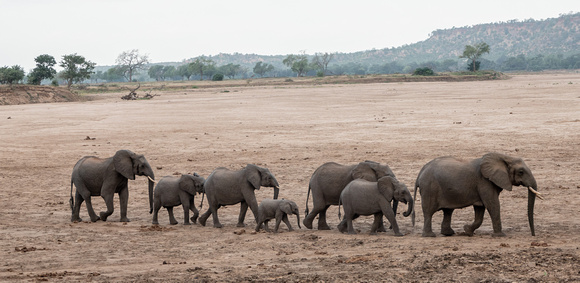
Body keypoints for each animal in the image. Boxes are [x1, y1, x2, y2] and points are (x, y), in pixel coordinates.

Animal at [412, 153, 540, 237]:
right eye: (521, 172)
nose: (533, 235)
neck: (504, 157)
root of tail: (420, 172)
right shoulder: (484, 182)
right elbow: (493, 205)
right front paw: (500, 236)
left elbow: (480, 209)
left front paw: (467, 231)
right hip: (429, 188)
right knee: (429, 212)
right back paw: (430, 235)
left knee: (448, 211)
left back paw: (448, 233)